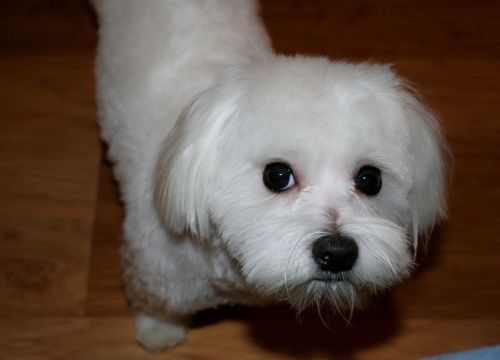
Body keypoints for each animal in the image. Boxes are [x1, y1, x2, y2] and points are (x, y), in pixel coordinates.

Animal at [92, 0, 448, 352]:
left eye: (370, 179)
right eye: (277, 176)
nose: (337, 252)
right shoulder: (159, 273)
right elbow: (156, 305)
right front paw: (158, 330)